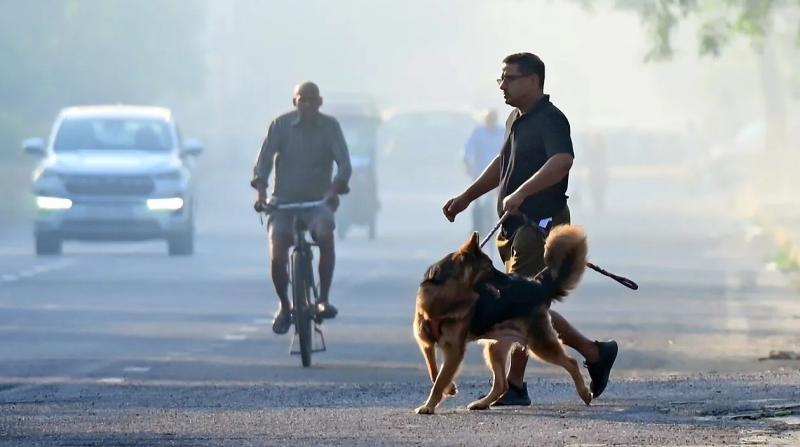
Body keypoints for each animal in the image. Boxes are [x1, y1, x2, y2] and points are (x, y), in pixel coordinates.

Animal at [413, 224, 591, 414]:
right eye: (489, 267)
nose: (508, 278)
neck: (444, 296)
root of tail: (536, 284)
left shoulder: (454, 350)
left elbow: (439, 380)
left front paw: (429, 405)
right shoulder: (426, 344)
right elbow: (434, 372)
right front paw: (449, 388)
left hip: (540, 346)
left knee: (571, 362)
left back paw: (585, 393)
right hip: (495, 348)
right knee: (501, 384)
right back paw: (482, 403)